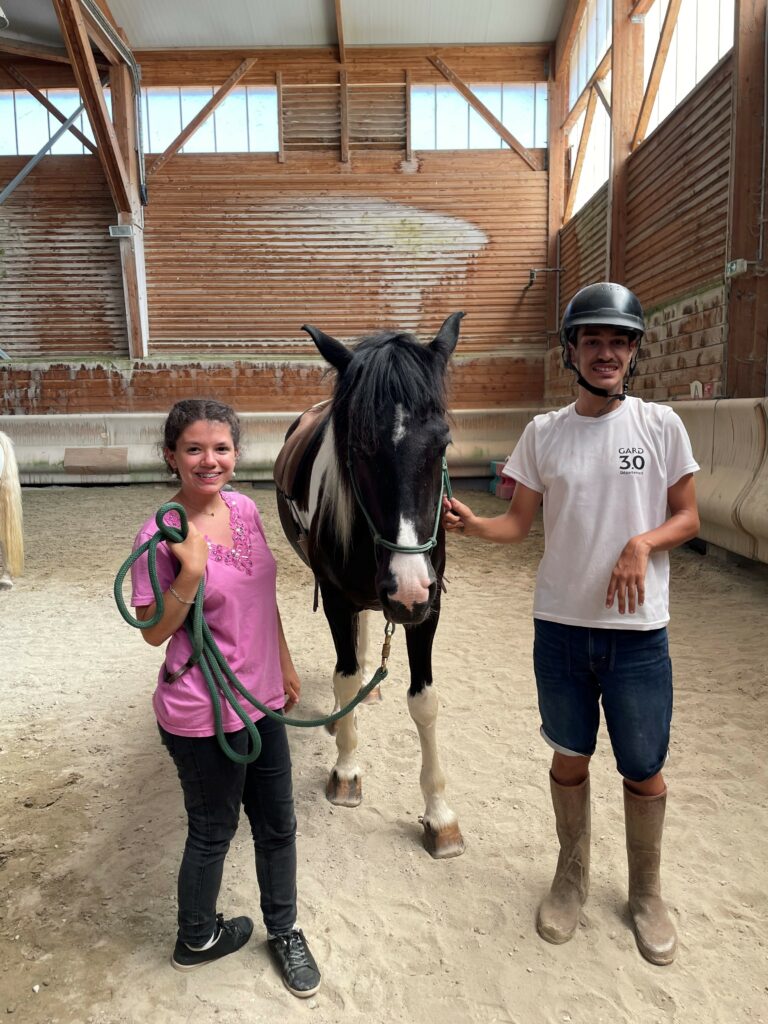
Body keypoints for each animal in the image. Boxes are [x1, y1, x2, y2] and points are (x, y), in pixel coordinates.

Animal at [276, 311, 468, 856]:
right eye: (357, 447)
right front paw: (346, 769)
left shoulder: (430, 608)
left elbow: (424, 702)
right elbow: (342, 677)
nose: (406, 590)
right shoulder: (336, 599)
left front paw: (440, 816)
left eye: (442, 444)